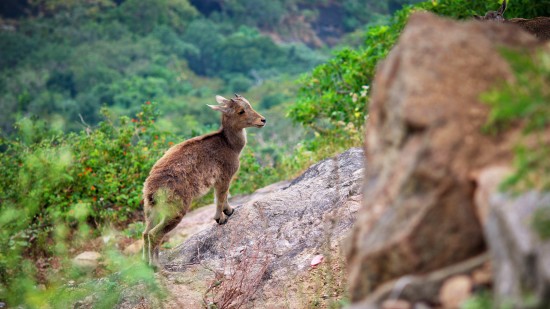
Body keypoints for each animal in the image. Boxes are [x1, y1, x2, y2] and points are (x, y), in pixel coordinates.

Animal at [142, 94, 268, 264]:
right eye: (241, 111)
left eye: (250, 105)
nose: (262, 120)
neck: (229, 145)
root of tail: (151, 190)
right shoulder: (224, 176)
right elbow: (221, 197)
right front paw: (221, 217)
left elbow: (222, 197)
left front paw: (229, 211)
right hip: (175, 210)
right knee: (154, 234)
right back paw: (155, 265)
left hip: (151, 211)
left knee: (145, 233)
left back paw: (145, 264)